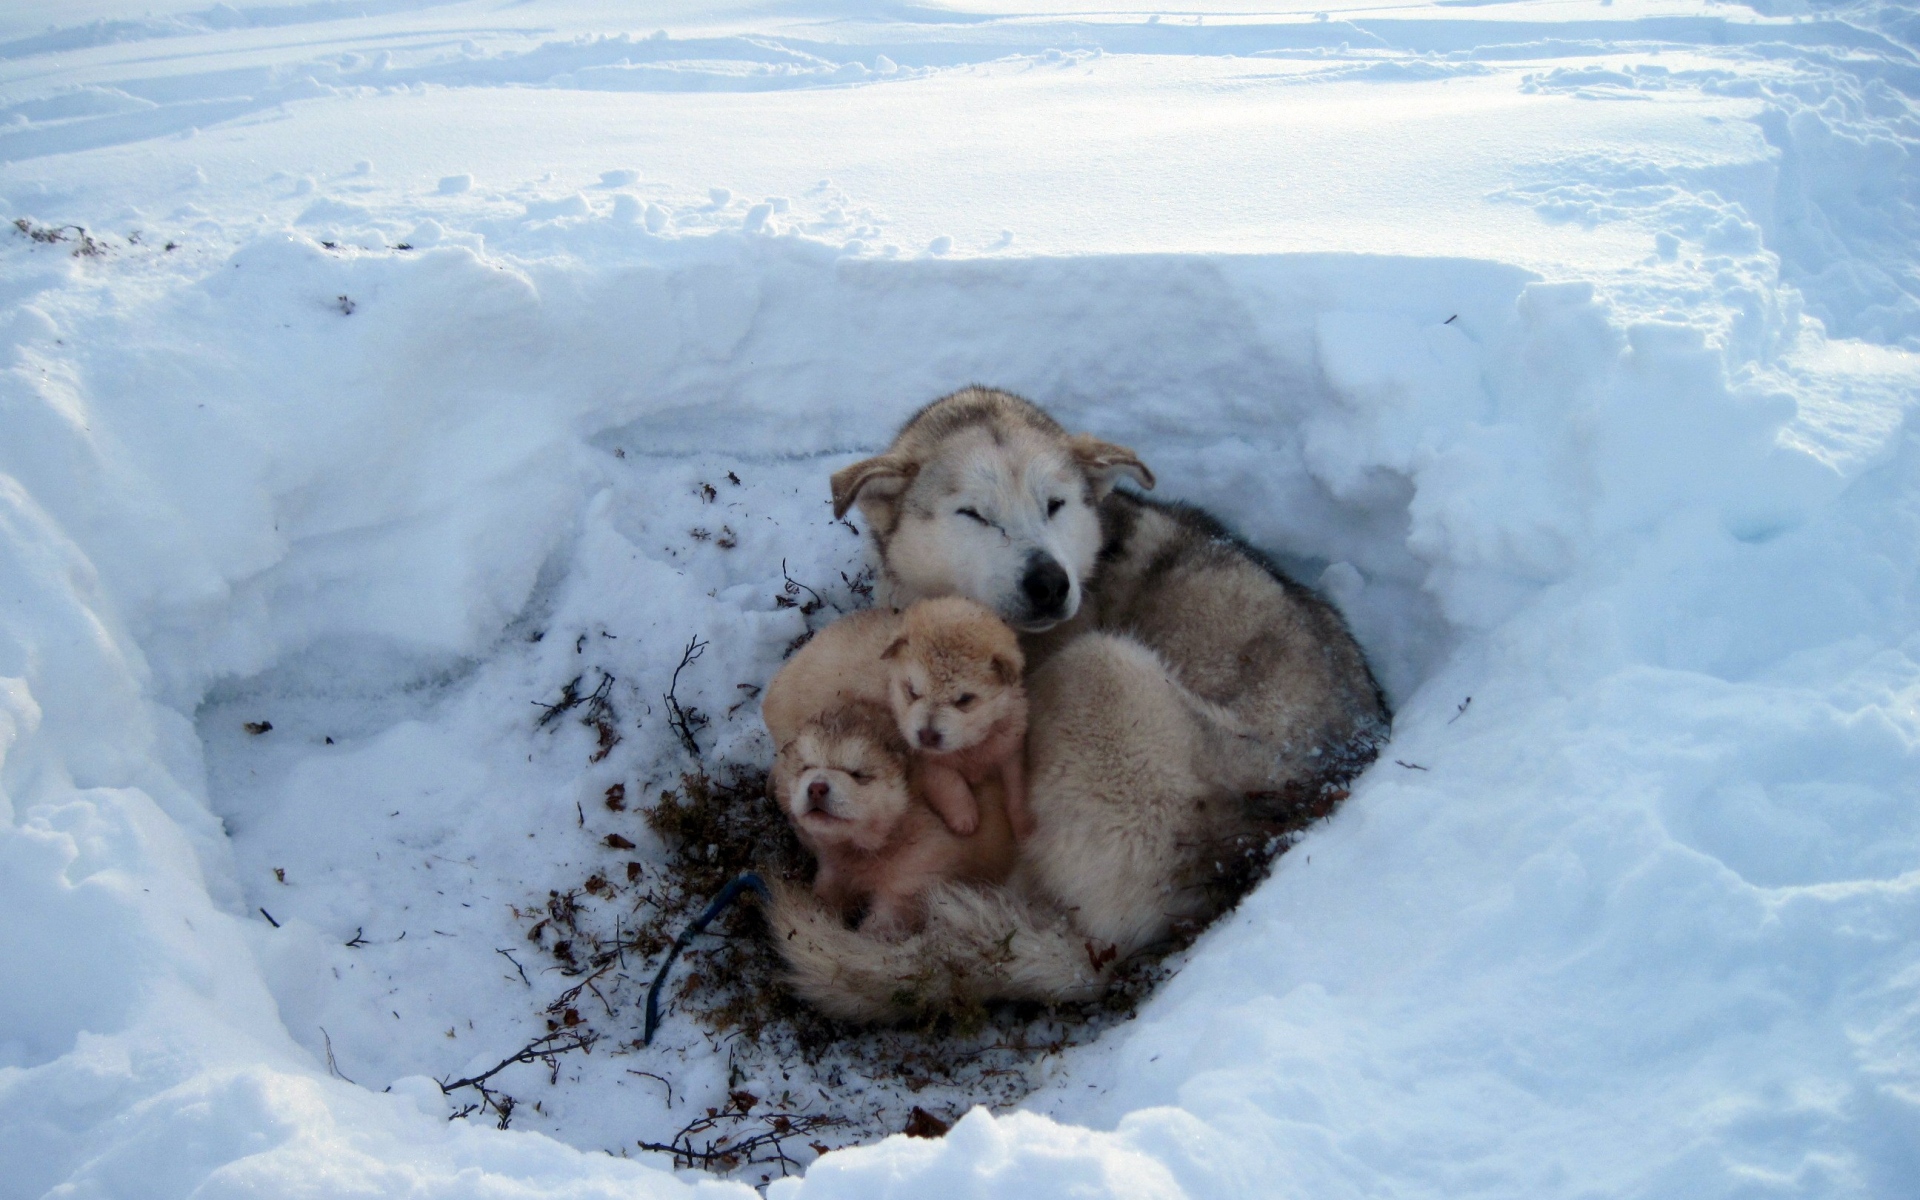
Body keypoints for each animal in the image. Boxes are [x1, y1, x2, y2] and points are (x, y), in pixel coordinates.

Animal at [768, 698, 1021, 933]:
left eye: (858, 774)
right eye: (806, 768)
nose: (816, 788)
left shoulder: (910, 885)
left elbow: (881, 926)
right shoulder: (834, 870)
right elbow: (826, 894)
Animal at [883, 595, 1036, 837]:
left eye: (964, 699)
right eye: (913, 692)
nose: (927, 736)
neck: (969, 747)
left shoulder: (1011, 751)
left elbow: (1017, 789)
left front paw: (1025, 827)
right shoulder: (926, 761)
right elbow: (950, 783)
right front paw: (964, 817)